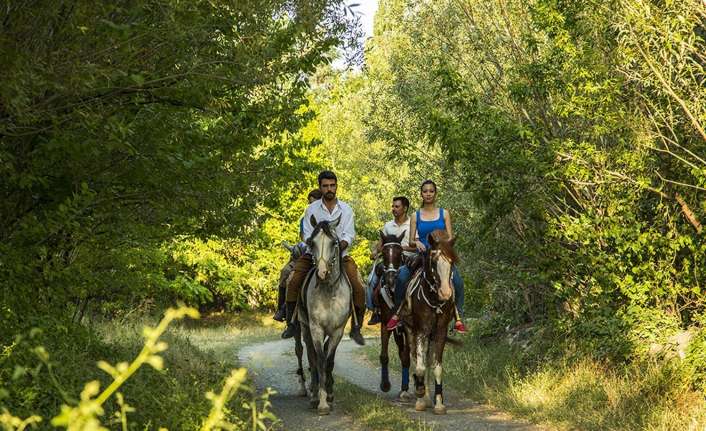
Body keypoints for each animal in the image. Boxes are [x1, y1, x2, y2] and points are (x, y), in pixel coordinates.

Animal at [296, 215, 350, 416]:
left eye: (334, 242)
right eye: (312, 243)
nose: (321, 273)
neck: (328, 291)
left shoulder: (337, 331)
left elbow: (329, 361)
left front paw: (330, 396)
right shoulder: (316, 328)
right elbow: (319, 360)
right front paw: (322, 402)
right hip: (305, 328)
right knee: (311, 356)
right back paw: (313, 395)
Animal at [398, 230, 460, 416]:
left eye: (452, 262)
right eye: (433, 261)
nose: (446, 293)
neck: (434, 300)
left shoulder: (440, 332)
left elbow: (436, 367)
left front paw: (439, 403)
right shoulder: (420, 331)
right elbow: (419, 366)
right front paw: (420, 399)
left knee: (427, 359)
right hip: (410, 331)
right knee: (415, 359)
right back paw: (422, 394)